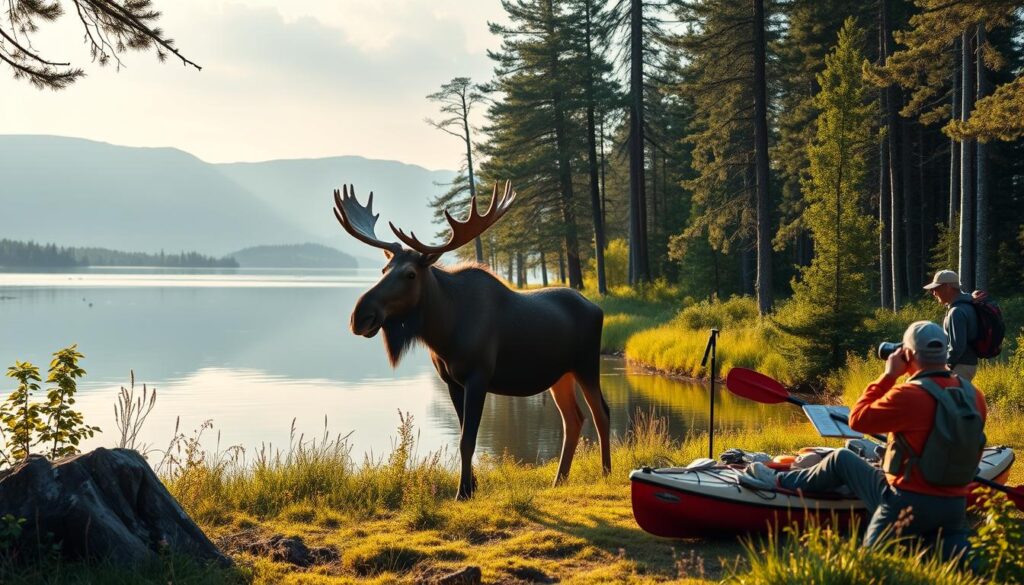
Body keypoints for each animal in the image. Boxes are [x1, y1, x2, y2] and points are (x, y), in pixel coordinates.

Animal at [333, 183, 606, 499]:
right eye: (383, 270)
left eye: (410, 274)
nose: (360, 315)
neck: (445, 330)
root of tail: (597, 309)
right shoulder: (452, 381)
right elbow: (465, 436)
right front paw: (471, 485)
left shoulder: (478, 376)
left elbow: (467, 439)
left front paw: (463, 491)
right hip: (560, 375)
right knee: (573, 419)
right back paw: (559, 480)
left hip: (587, 365)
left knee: (601, 414)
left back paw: (606, 472)